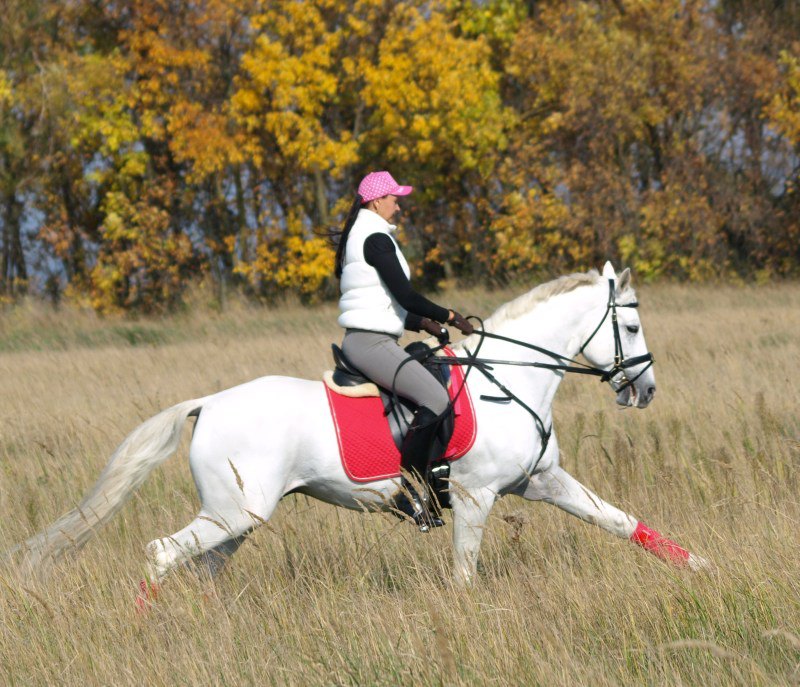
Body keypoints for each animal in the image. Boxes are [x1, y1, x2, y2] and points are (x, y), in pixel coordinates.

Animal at [12, 260, 704, 592]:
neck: (508, 378)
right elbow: (464, 574)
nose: (645, 390)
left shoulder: (543, 481)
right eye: (632, 325)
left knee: (203, 572)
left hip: (236, 518)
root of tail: (208, 403)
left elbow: (621, 523)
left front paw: (703, 567)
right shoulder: (476, 496)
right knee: (162, 555)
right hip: (233, 513)